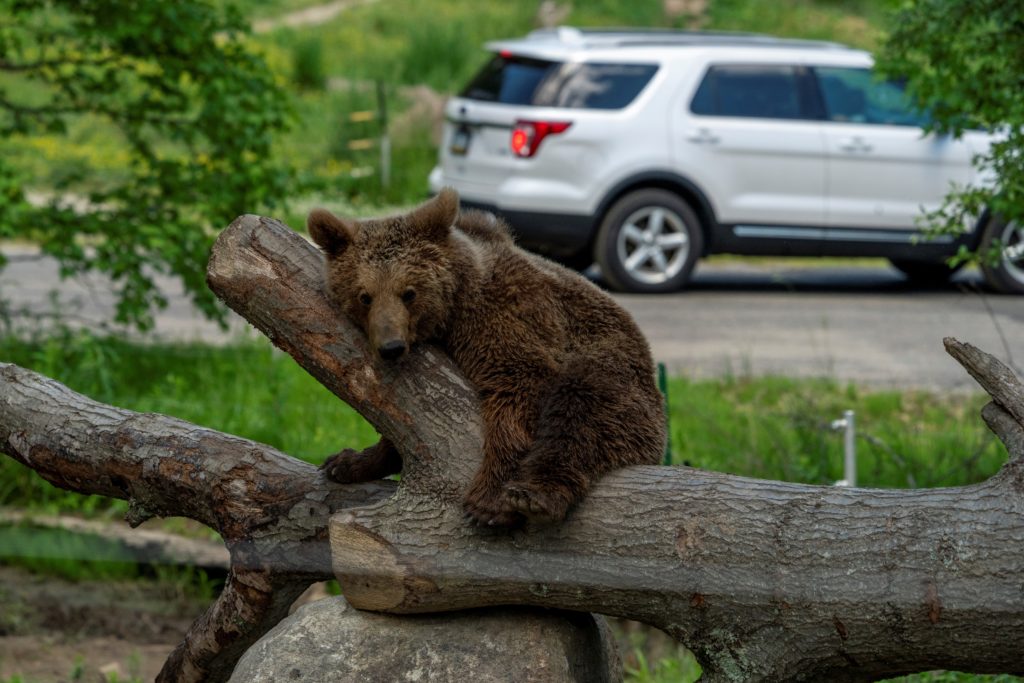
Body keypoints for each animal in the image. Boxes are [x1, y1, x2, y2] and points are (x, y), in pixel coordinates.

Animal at [307, 188, 667, 528]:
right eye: (364, 296)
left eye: (408, 292)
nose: (391, 346)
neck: (452, 311)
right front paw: (350, 461)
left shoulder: (503, 318)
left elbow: (519, 386)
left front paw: (489, 503)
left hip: (613, 365)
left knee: (583, 409)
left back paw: (534, 494)